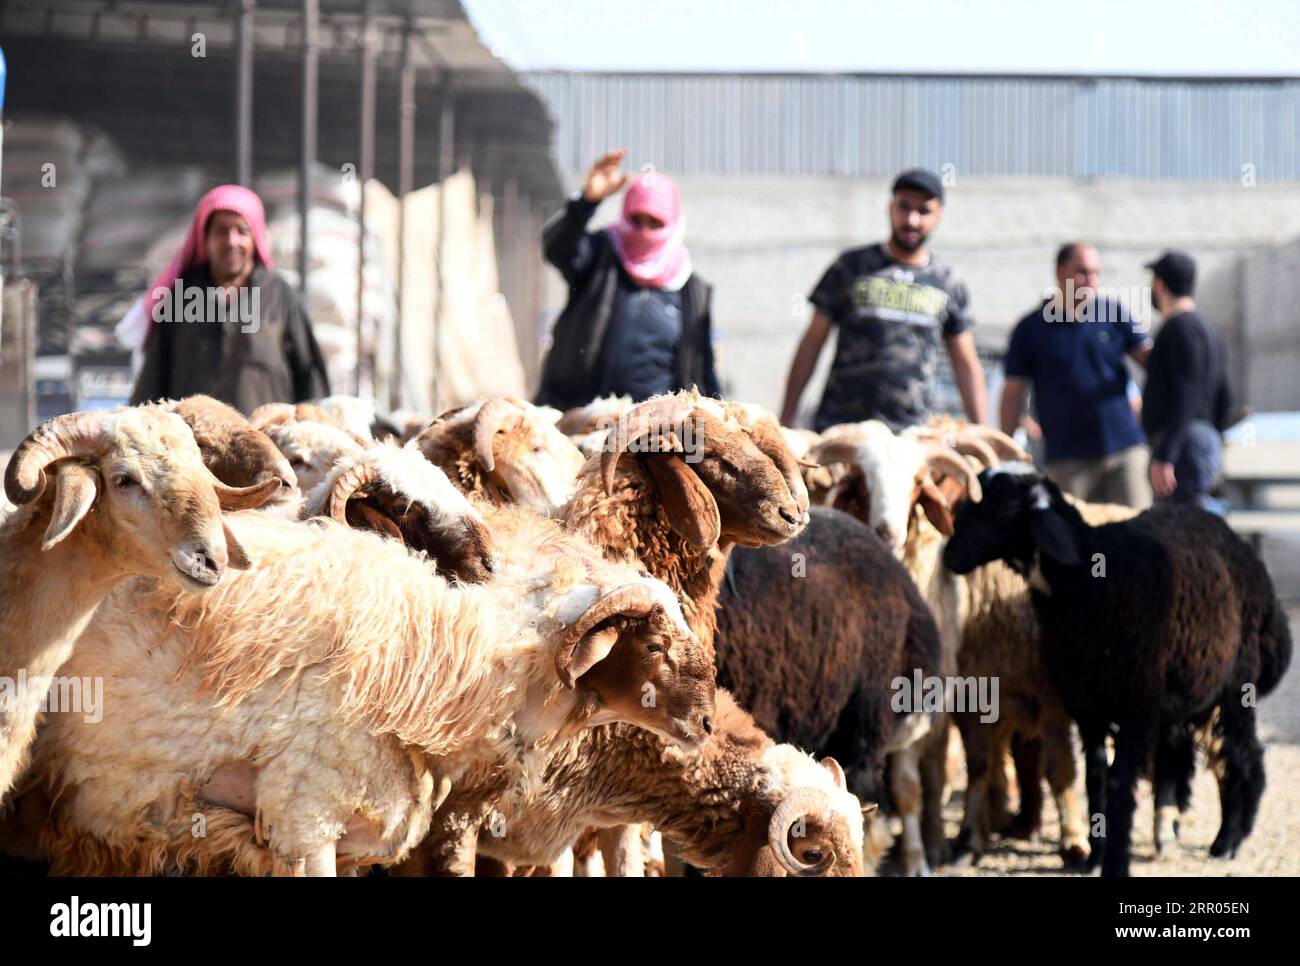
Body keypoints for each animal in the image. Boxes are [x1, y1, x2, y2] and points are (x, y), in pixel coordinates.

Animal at [946, 465, 1289, 878]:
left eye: (1008, 506)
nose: (950, 554)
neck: (1089, 584)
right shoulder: (1087, 707)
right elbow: (1096, 780)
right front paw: (1093, 856)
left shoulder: (1135, 708)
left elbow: (1121, 785)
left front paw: (1114, 863)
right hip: (1179, 692)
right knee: (1178, 756)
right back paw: (1169, 834)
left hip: (1233, 686)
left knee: (1241, 754)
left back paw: (1229, 840)